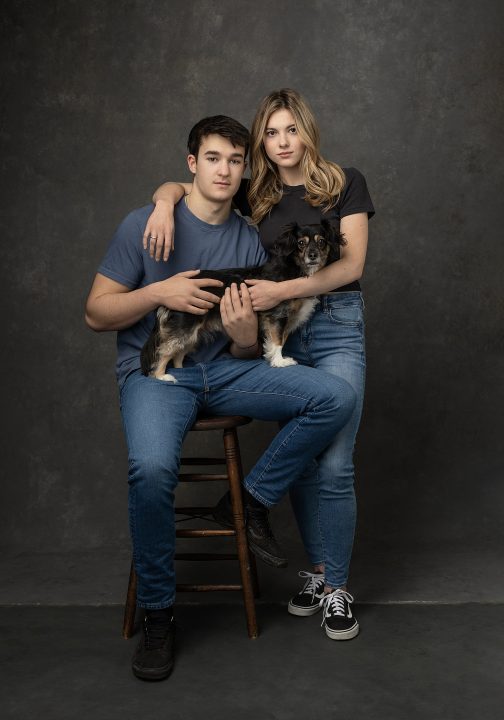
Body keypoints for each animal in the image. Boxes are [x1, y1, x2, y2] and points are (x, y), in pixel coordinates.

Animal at [140, 221, 344, 382]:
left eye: (322, 242)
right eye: (301, 243)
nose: (313, 255)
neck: (296, 270)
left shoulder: (288, 320)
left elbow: (279, 340)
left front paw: (274, 358)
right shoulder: (277, 316)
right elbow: (278, 341)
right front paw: (279, 362)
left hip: (192, 334)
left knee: (178, 354)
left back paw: (182, 372)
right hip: (184, 329)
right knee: (163, 352)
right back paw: (161, 376)